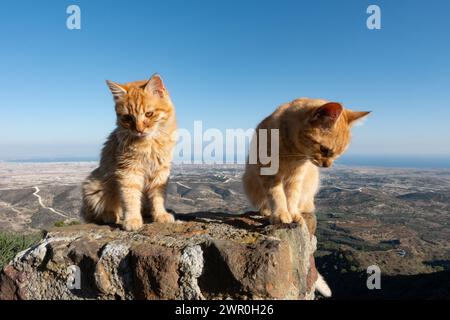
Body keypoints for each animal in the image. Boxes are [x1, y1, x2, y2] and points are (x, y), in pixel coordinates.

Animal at [81, 74, 177, 231]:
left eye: (149, 114)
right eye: (128, 118)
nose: (139, 130)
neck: (149, 143)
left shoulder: (160, 171)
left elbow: (158, 197)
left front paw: (160, 214)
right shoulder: (129, 171)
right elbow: (130, 198)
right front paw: (132, 220)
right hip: (95, 186)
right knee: (98, 213)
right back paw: (110, 215)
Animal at [244, 97, 370, 235]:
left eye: (338, 154)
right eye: (324, 150)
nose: (327, 165)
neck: (293, 153)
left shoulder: (296, 176)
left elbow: (292, 195)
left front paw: (293, 213)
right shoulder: (268, 171)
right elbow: (276, 195)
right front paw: (281, 214)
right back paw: (266, 210)